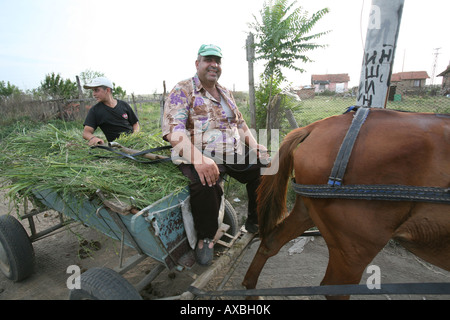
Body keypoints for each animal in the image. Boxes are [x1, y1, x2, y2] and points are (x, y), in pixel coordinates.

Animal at [243, 109, 450, 298]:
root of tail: (315, 127)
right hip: (356, 246)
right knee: (334, 288)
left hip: (308, 210)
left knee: (271, 242)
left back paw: (250, 289)